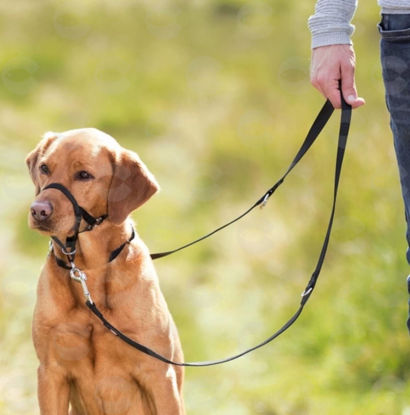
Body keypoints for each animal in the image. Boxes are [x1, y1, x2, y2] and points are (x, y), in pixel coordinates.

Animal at [26, 128, 186, 414]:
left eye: (84, 175)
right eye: (45, 168)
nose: (38, 211)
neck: (88, 268)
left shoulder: (158, 375)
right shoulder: (51, 372)